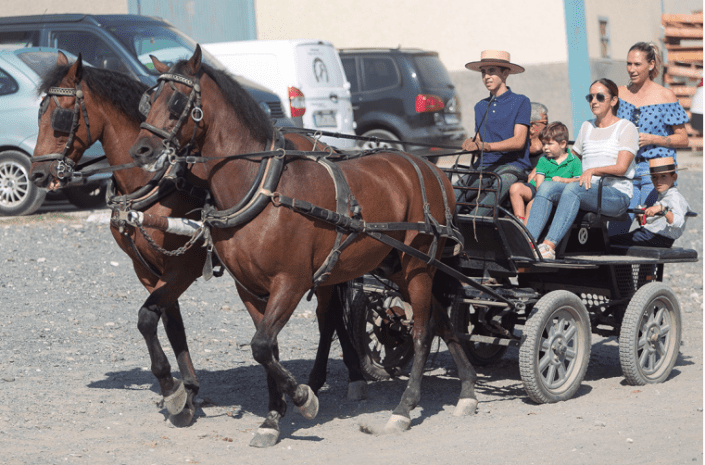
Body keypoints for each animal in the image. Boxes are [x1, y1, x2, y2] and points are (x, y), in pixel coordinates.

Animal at [30, 51, 366, 428]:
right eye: (39, 111)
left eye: (61, 114)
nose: (37, 174)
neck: (156, 182)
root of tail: (324, 147)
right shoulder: (147, 270)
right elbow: (169, 323)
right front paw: (185, 392)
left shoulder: (183, 267)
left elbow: (148, 319)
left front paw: (172, 388)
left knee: (329, 316)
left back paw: (335, 378)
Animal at [127, 46, 478, 446]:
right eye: (150, 99)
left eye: (177, 101)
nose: (140, 149)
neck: (263, 189)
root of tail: (433, 170)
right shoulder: (250, 289)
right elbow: (267, 348)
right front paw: (271, 418)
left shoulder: (291, 283)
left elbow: (262, 346)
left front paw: (302, 398)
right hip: (399, 267)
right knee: (439, 318)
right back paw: (468, 389)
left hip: (417, 265)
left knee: (421, 331)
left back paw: (404, 409)